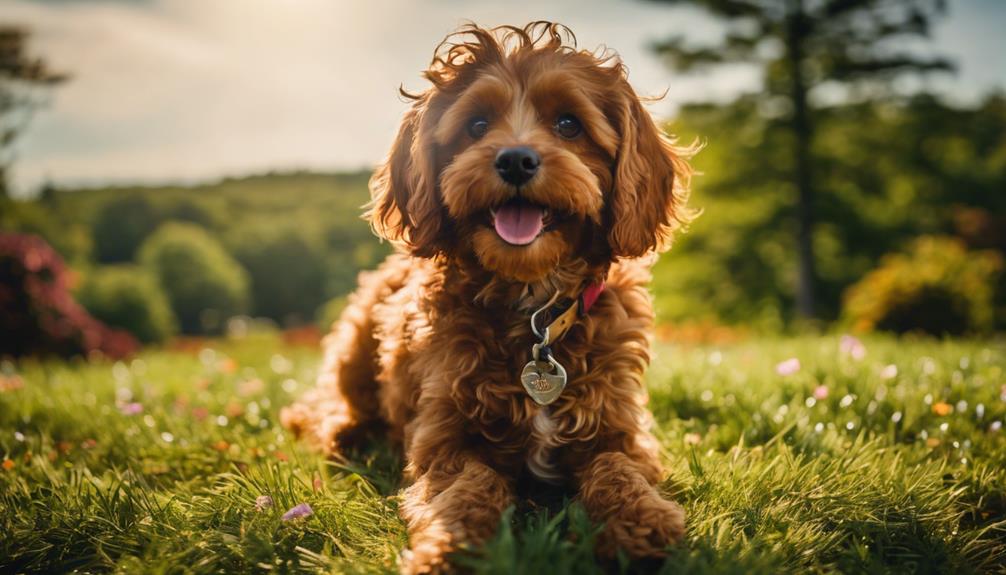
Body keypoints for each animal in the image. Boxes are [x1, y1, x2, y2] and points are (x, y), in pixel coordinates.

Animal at [279, 20, 696, 570]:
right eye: (476, 125)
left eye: (569, 124)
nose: (516, 159)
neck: (533, 305)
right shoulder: (444, 439)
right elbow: (472, 486)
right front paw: (447, 546)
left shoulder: (619, 426)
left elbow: (617, 468)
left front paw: (643, 521)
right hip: (356, 337)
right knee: (337, 407)